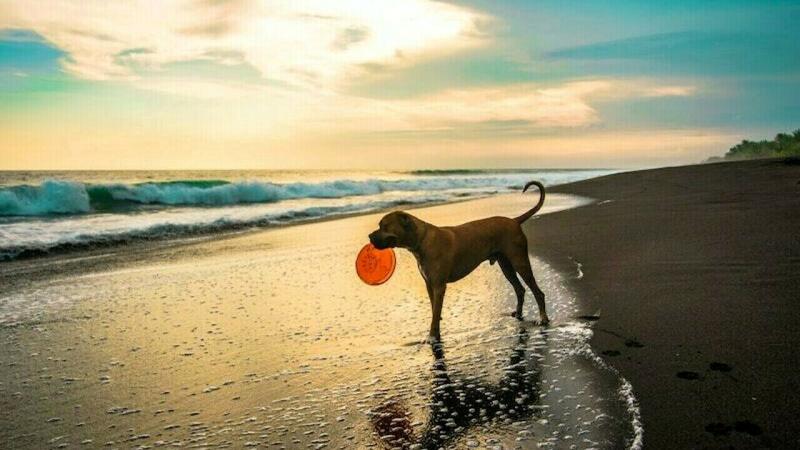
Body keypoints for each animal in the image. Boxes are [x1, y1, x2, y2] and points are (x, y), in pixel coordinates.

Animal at [370, 180, 552, 342]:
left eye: (384, 226)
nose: (369, 236)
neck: (422, 240)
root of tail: (514, 220)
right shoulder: (429, 284)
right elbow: (434, 310)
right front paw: (435, 330)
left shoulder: (439, 286)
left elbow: (435, 312)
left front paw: (432, 336)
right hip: (506, 265)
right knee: (520, 289)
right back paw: (519, 313)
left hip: (520, 262)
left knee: (538, 292)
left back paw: (543, 318)